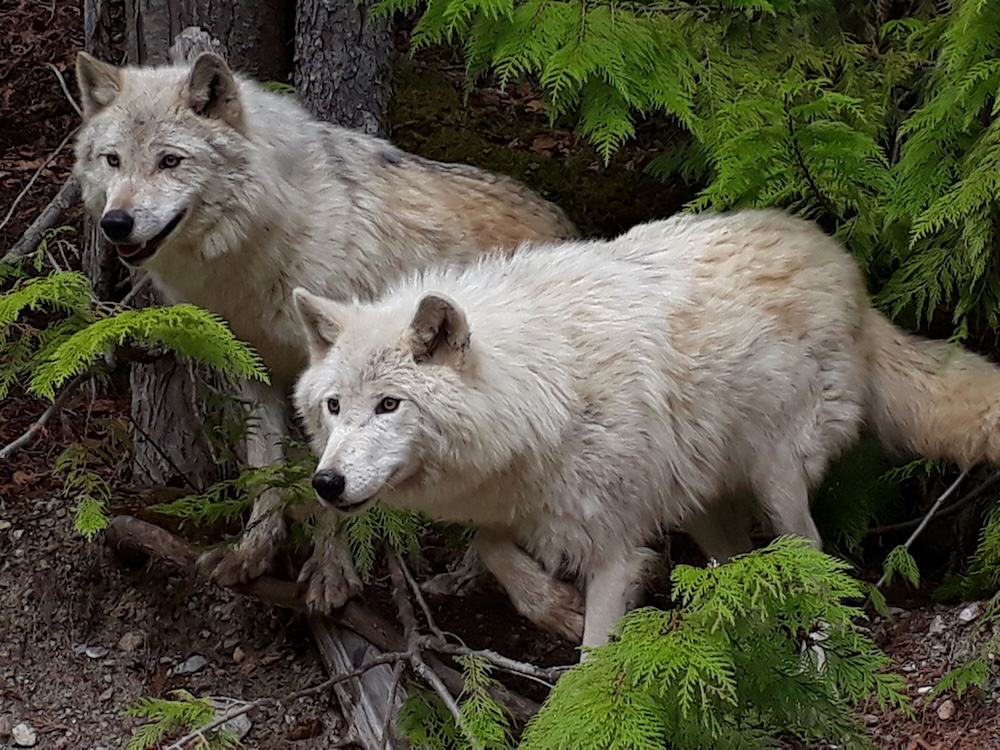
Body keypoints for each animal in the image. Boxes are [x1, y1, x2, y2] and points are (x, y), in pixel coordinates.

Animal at [72, 47, 576, 611]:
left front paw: (332, 576)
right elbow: (264, 470)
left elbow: (328, 482)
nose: (115, 223)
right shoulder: (256, 372)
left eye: (170, 161)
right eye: (112, 160)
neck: (264, 246)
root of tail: (565, 223)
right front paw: (252, 552)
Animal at [292, 209, 1000, 649]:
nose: (327, 483)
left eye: (389, 405)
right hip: (702, 502)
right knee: (742, 560)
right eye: (334, 407)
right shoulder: (520, 506)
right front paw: (552, 606)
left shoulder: (614, 545)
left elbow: (592, 657)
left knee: (814, 557)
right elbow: (491, 547)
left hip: (777, 482)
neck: (540, 390)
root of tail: (847, 273)